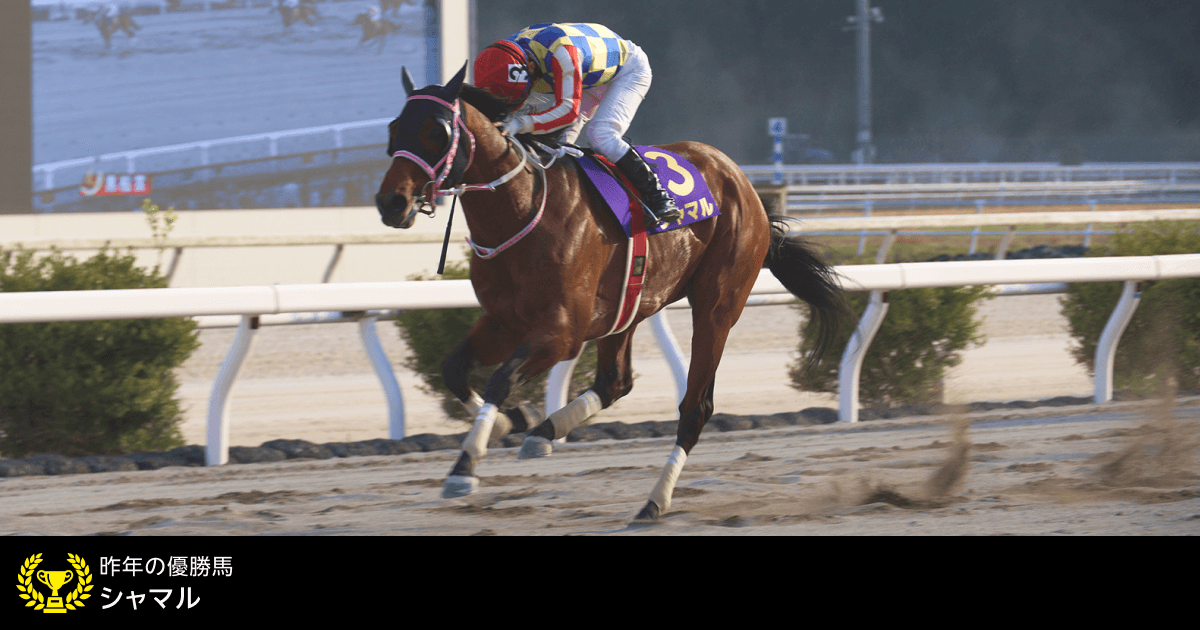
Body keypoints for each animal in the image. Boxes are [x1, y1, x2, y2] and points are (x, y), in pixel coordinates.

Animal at [375, 63, 848, 521]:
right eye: (394, 128)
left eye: (436, 131)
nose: (390, 203)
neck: (522, 209)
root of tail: (743, 183)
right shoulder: (504, 321)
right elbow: (455, 369)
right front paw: (512, 422)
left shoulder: (562, 332)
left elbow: (500, 379)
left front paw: (464, 467)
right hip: (631, 305)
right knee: (615, 381)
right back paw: (545, 432)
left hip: (717, 306)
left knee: (695, 408)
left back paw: (654, 502)